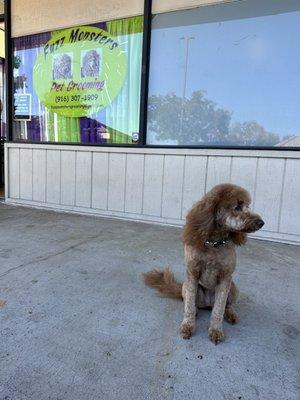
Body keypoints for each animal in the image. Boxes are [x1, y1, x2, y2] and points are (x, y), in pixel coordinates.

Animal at [144, 184, 264, 344]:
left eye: (247, 206)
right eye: (237, 207)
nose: (261, 223)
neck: (214, 244)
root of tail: (207, 304)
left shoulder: (225, 279)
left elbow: (219, 309)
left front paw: (216, 331)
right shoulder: (192, 274)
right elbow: (189, 305)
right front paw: (187, 326)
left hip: (233, 288)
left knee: (226, 306)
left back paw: (230, 314)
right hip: (185, 287)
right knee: (191, 303)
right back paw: (196, 311)